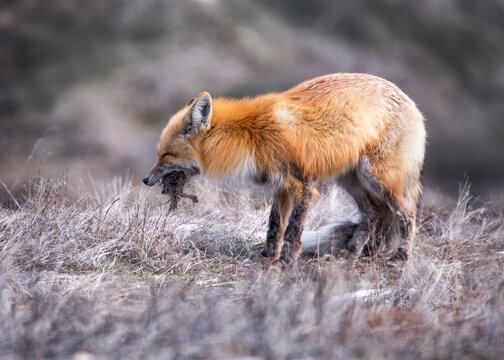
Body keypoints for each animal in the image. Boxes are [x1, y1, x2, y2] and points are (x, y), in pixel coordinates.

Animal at [144, 73, 428, 264]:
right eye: (158, 154)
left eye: (166, 155)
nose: (146, 180)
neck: (251, 137)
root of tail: (411, 103)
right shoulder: (280, 187)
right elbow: (274, 227)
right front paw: (267, 258)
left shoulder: (303, 186)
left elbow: (293, 231)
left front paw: (286, 262)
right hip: (350, 180)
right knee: (373, 215)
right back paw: (350, 254)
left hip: (378, 179)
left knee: (407, 214)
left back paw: (401, 257)